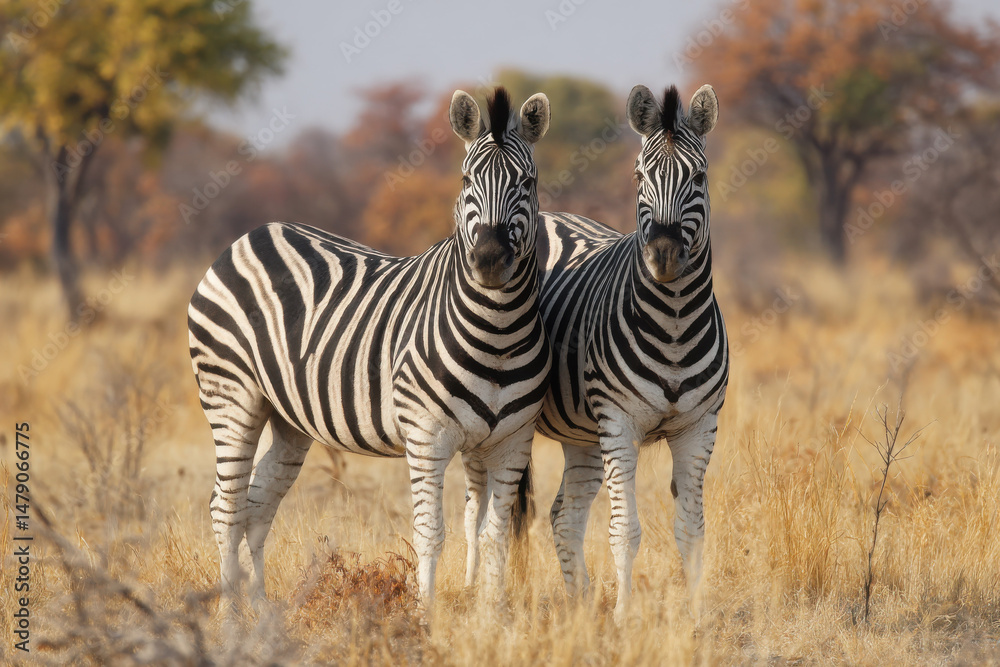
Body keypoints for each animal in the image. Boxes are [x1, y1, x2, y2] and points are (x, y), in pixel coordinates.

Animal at [187, 86, 552, 614]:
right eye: (466, 180)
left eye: (528, 181)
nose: (488, 260)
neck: (497, 333)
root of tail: (249, 237)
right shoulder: (426, 437)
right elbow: (430, 533)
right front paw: (425, 617)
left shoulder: (513, 442)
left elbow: (495, 535)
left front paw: (493, 616)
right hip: (231, 396)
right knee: (226, 505)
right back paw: (230, 614)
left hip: (287, 418)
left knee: (257, 504)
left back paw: (260, 610)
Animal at [528, 84, 726, 621]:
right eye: (639, 176)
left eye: (699, 176)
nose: (664, 255)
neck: (675, 324)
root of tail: (550, 214)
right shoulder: (619, 423)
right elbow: (625, 530)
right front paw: (623, 617)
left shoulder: (699, 427)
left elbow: (693, 531)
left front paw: (696, 618)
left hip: (580, 433)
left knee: (564, 516)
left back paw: (579, 606)